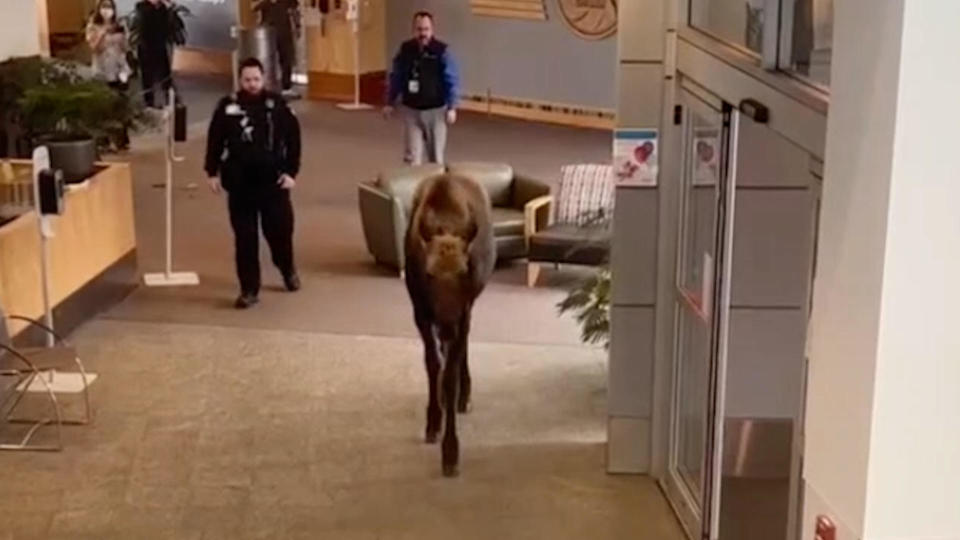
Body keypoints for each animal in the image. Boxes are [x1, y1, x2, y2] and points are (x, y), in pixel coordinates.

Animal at [404, 173, 496, 476]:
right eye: (428, 274)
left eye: (464, 271)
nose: (446, 325)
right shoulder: (420, 311)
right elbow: (432, 364)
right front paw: (433, 420)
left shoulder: (464, 310)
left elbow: (451, 376)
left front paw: (451, 451)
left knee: (462, 348)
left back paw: (463, 396)